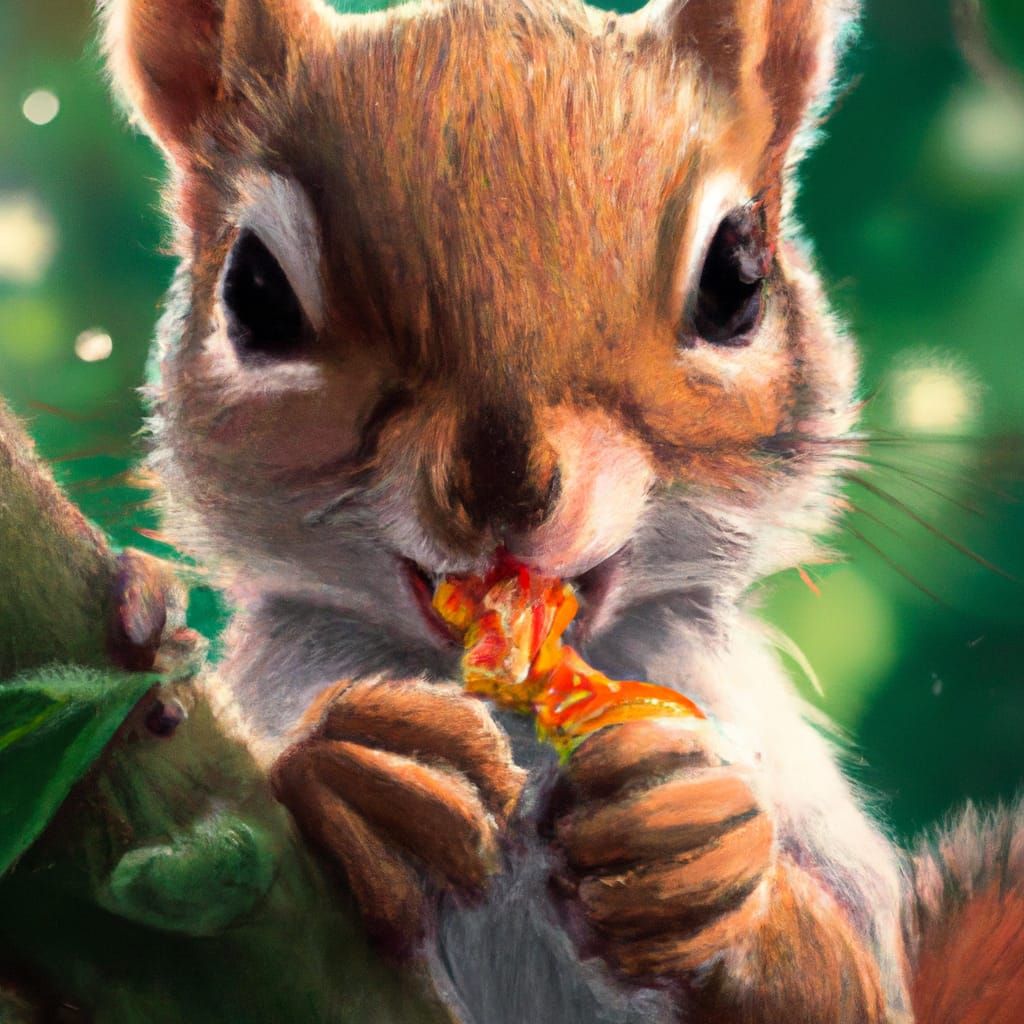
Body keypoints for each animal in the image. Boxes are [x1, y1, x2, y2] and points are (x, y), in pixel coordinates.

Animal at [99, 0, 1024, 1021]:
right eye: (255, 293)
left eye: (737, 278)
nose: (503, 489)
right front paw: (363, 772)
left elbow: (855, 991)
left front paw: (711, 860)